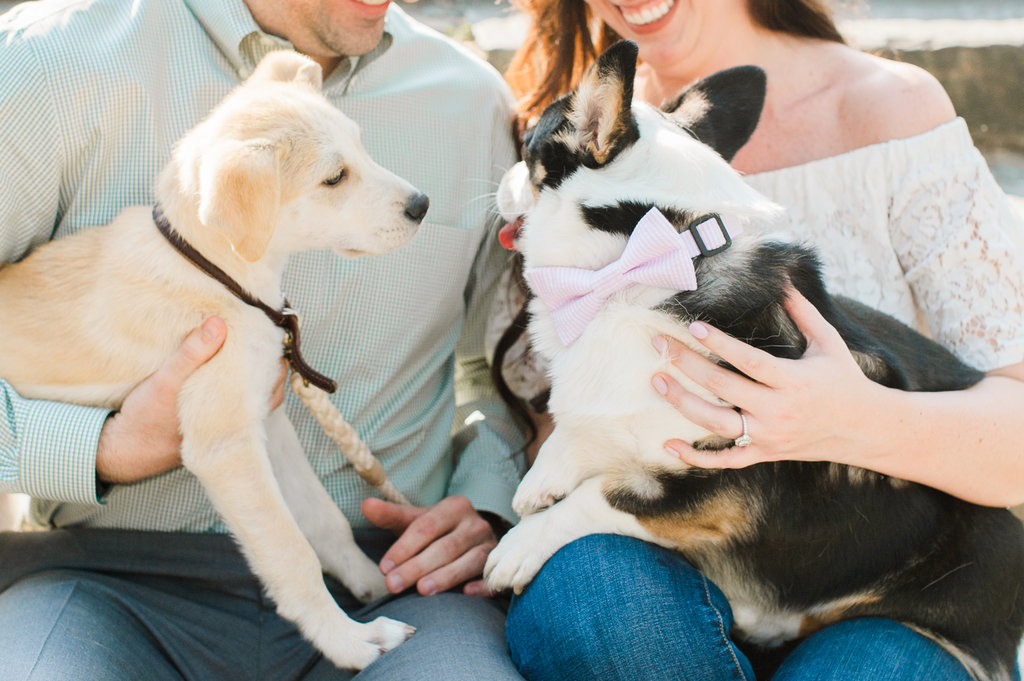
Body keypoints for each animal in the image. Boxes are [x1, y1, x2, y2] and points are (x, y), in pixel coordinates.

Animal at [0, 51, 425, 667]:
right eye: (334, 178)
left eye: (362, 147)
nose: (423, 205)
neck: (215, 273)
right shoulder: (227, 446)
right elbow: (291, 552)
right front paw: (348, 642)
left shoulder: (268, 422)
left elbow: (323, 522)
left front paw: (368, 586)